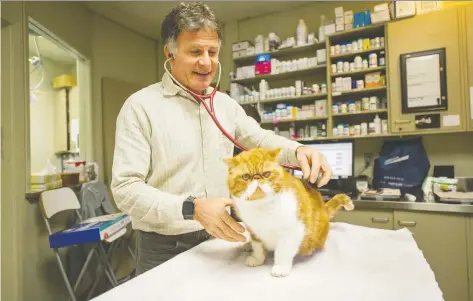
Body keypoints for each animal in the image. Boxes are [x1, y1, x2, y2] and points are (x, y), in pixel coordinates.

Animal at [225, 146, 354, 276]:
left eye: (267, 174)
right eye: (246, 177)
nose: (256, 177)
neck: (263, 206)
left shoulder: (292, 230)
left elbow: (283, 251)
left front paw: (281, 267)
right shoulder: (254, 230)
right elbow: (258, 247)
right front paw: (257, 259)